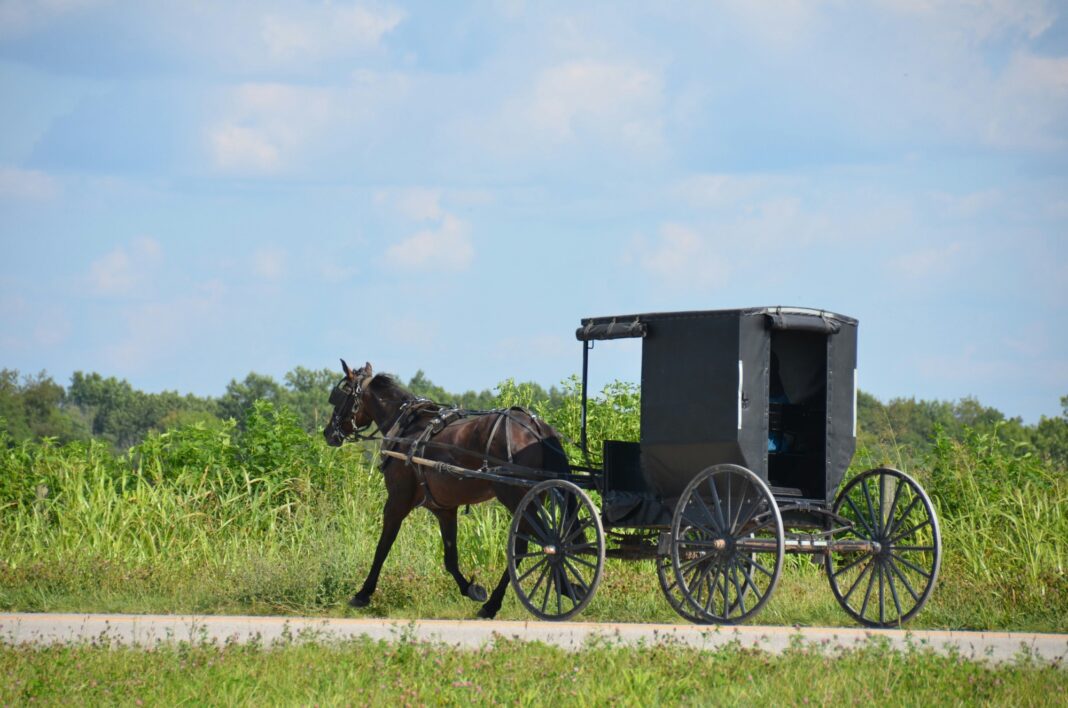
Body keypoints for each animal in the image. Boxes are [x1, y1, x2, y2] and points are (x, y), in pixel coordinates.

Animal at [322, 360, 570, 618]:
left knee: (536, 544)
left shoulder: (397, 501)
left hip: (514, 495)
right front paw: (471, 588)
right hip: (535, 495)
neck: (407, 429)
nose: (328, 433)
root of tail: (537, 427)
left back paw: (496, 604)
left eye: (341, 394)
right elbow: (450, 558)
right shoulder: (445, 509)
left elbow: (382, 547)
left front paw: (363, 593)